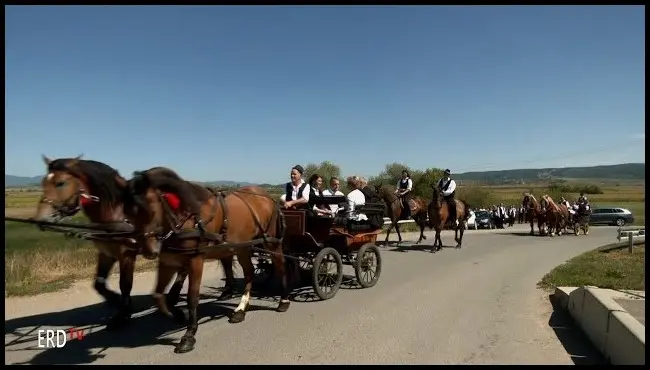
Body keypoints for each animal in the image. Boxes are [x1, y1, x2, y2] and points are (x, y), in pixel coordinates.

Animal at [33, 155, 156, 328]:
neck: (117, 213)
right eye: (43, 181)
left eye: (60, 183)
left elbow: (125, 284)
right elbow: (99, 283)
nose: (41, 219)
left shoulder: (127, 255)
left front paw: (123, 314)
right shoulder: (106, 253)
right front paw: (116, 301)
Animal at [120, 168, 288, 356]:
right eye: (127, 209)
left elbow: (192, 298)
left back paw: (283, 301)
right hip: (242, 246)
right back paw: (241, 309)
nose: (148, 249)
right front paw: (178, 314)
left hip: (271, 241)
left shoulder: (196, 261)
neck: (187, 217)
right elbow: (159, 295)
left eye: (149, 204)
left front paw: (189, 335)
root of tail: (267, 197)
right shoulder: (168, 261)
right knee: (249, 272)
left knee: (280, 265)